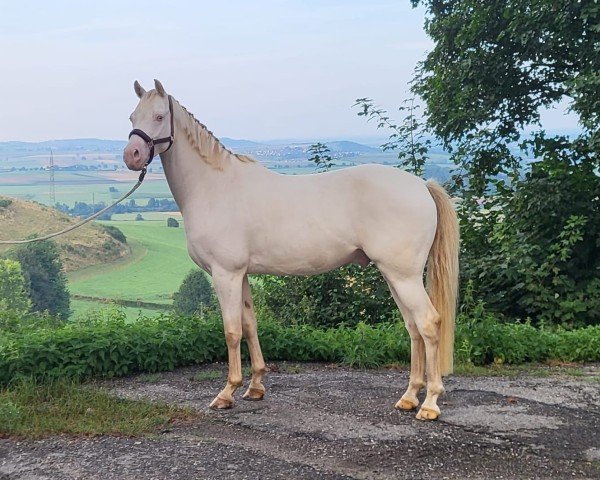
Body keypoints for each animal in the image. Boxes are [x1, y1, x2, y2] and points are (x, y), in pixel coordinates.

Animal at [123, 79, 460, 420]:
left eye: (160, 116)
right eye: (132, 116)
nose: (132, 155)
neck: (214, 187)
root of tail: (422, 186)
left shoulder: (225, 274)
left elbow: (232, 331)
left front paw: (227, 392)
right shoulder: (241, 274)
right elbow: (250, 324)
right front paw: (255, 386)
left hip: (404, 276)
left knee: (428, 323)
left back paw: (430, 403)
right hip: (395, 276)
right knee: (413, 327)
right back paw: (409, 396)